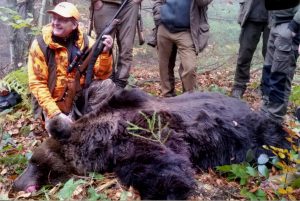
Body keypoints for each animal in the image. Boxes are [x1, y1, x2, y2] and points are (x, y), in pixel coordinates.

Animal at [12, 79, 290, 199]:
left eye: (34, 162)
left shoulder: (147, 133)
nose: (15, 184)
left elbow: (164, 171)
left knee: (274, 143)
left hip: (255, 131)